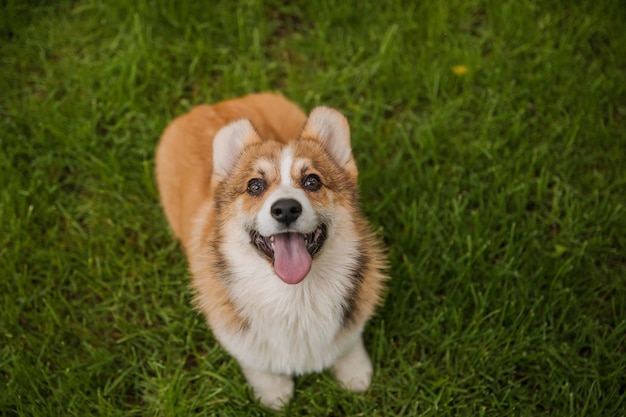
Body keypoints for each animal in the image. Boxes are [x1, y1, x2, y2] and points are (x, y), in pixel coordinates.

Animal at [155, 92, 386, 408]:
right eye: (255, 185)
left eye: (312, 181)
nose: (286, 209)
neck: (295, 295)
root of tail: (210, 106)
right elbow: (257, 362)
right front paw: (273, 393)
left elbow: (348, 342)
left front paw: (355, 374)